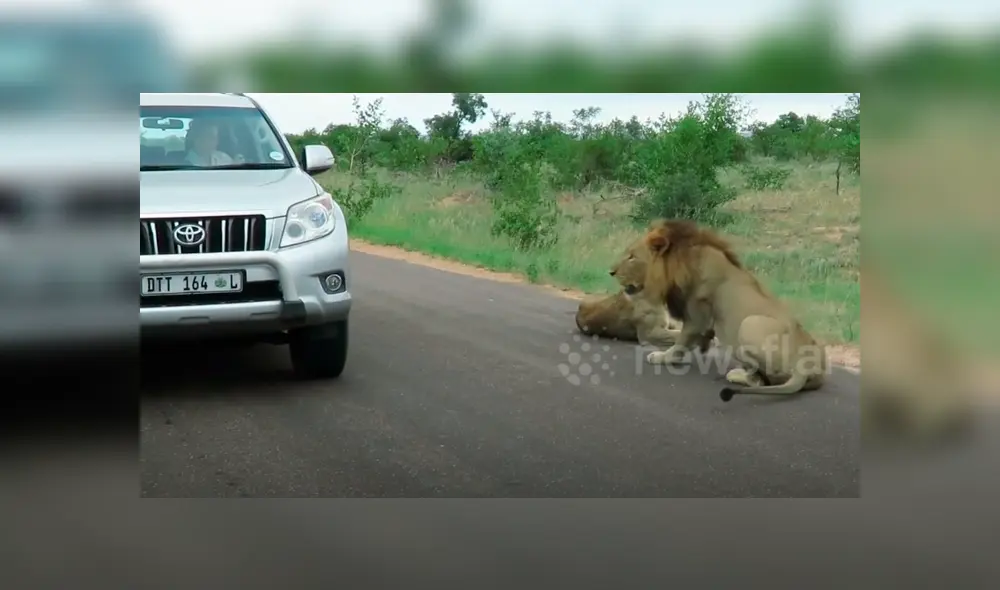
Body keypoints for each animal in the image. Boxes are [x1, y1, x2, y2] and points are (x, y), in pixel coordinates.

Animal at [613, 219, 827, 401]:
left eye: (632, 256)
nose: (611, 272)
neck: (682, 263)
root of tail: (806, 367)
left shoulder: (696, 315)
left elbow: (681, 342)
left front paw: (662, 357)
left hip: (748, 324)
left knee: (762, 380)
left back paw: (737, 374)